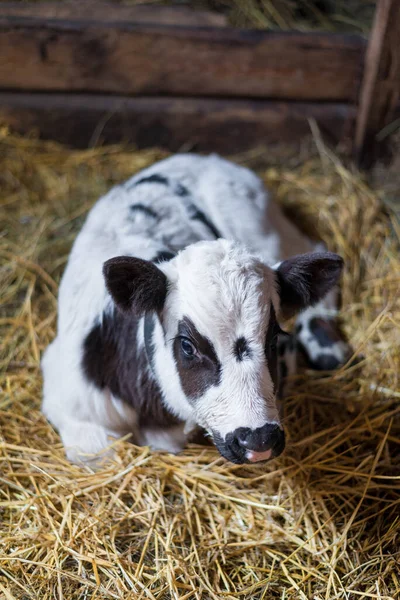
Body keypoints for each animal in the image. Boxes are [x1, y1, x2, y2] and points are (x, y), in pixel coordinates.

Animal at [41, 155, 350, 464]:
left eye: (273, 337)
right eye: (187, 346)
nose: (258, 440)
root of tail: (200, 158)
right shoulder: (74, 409)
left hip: (266, 232)